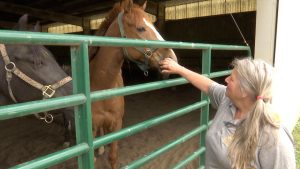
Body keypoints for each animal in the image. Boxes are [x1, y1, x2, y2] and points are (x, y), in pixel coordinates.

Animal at [89, 0, 178, 168]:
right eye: (140, 28)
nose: (172, 58)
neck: (102, 85)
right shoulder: (92, 126)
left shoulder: (117, 124)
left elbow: (113, 156)